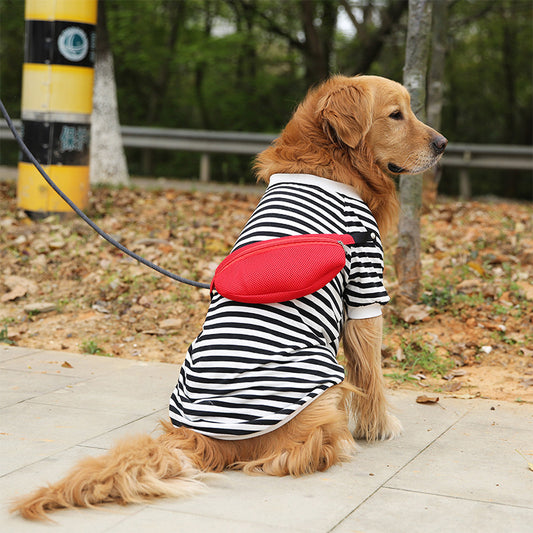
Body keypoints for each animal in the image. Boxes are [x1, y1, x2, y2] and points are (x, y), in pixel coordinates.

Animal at [11, 72, 444, 516]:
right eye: (396, 114)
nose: (443, 144)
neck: (330, 162)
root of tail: (205, 438)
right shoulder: (365, 286)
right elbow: (373, 373)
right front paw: (382, 428)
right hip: (322, 379)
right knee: (297, 453)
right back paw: (336, 445)